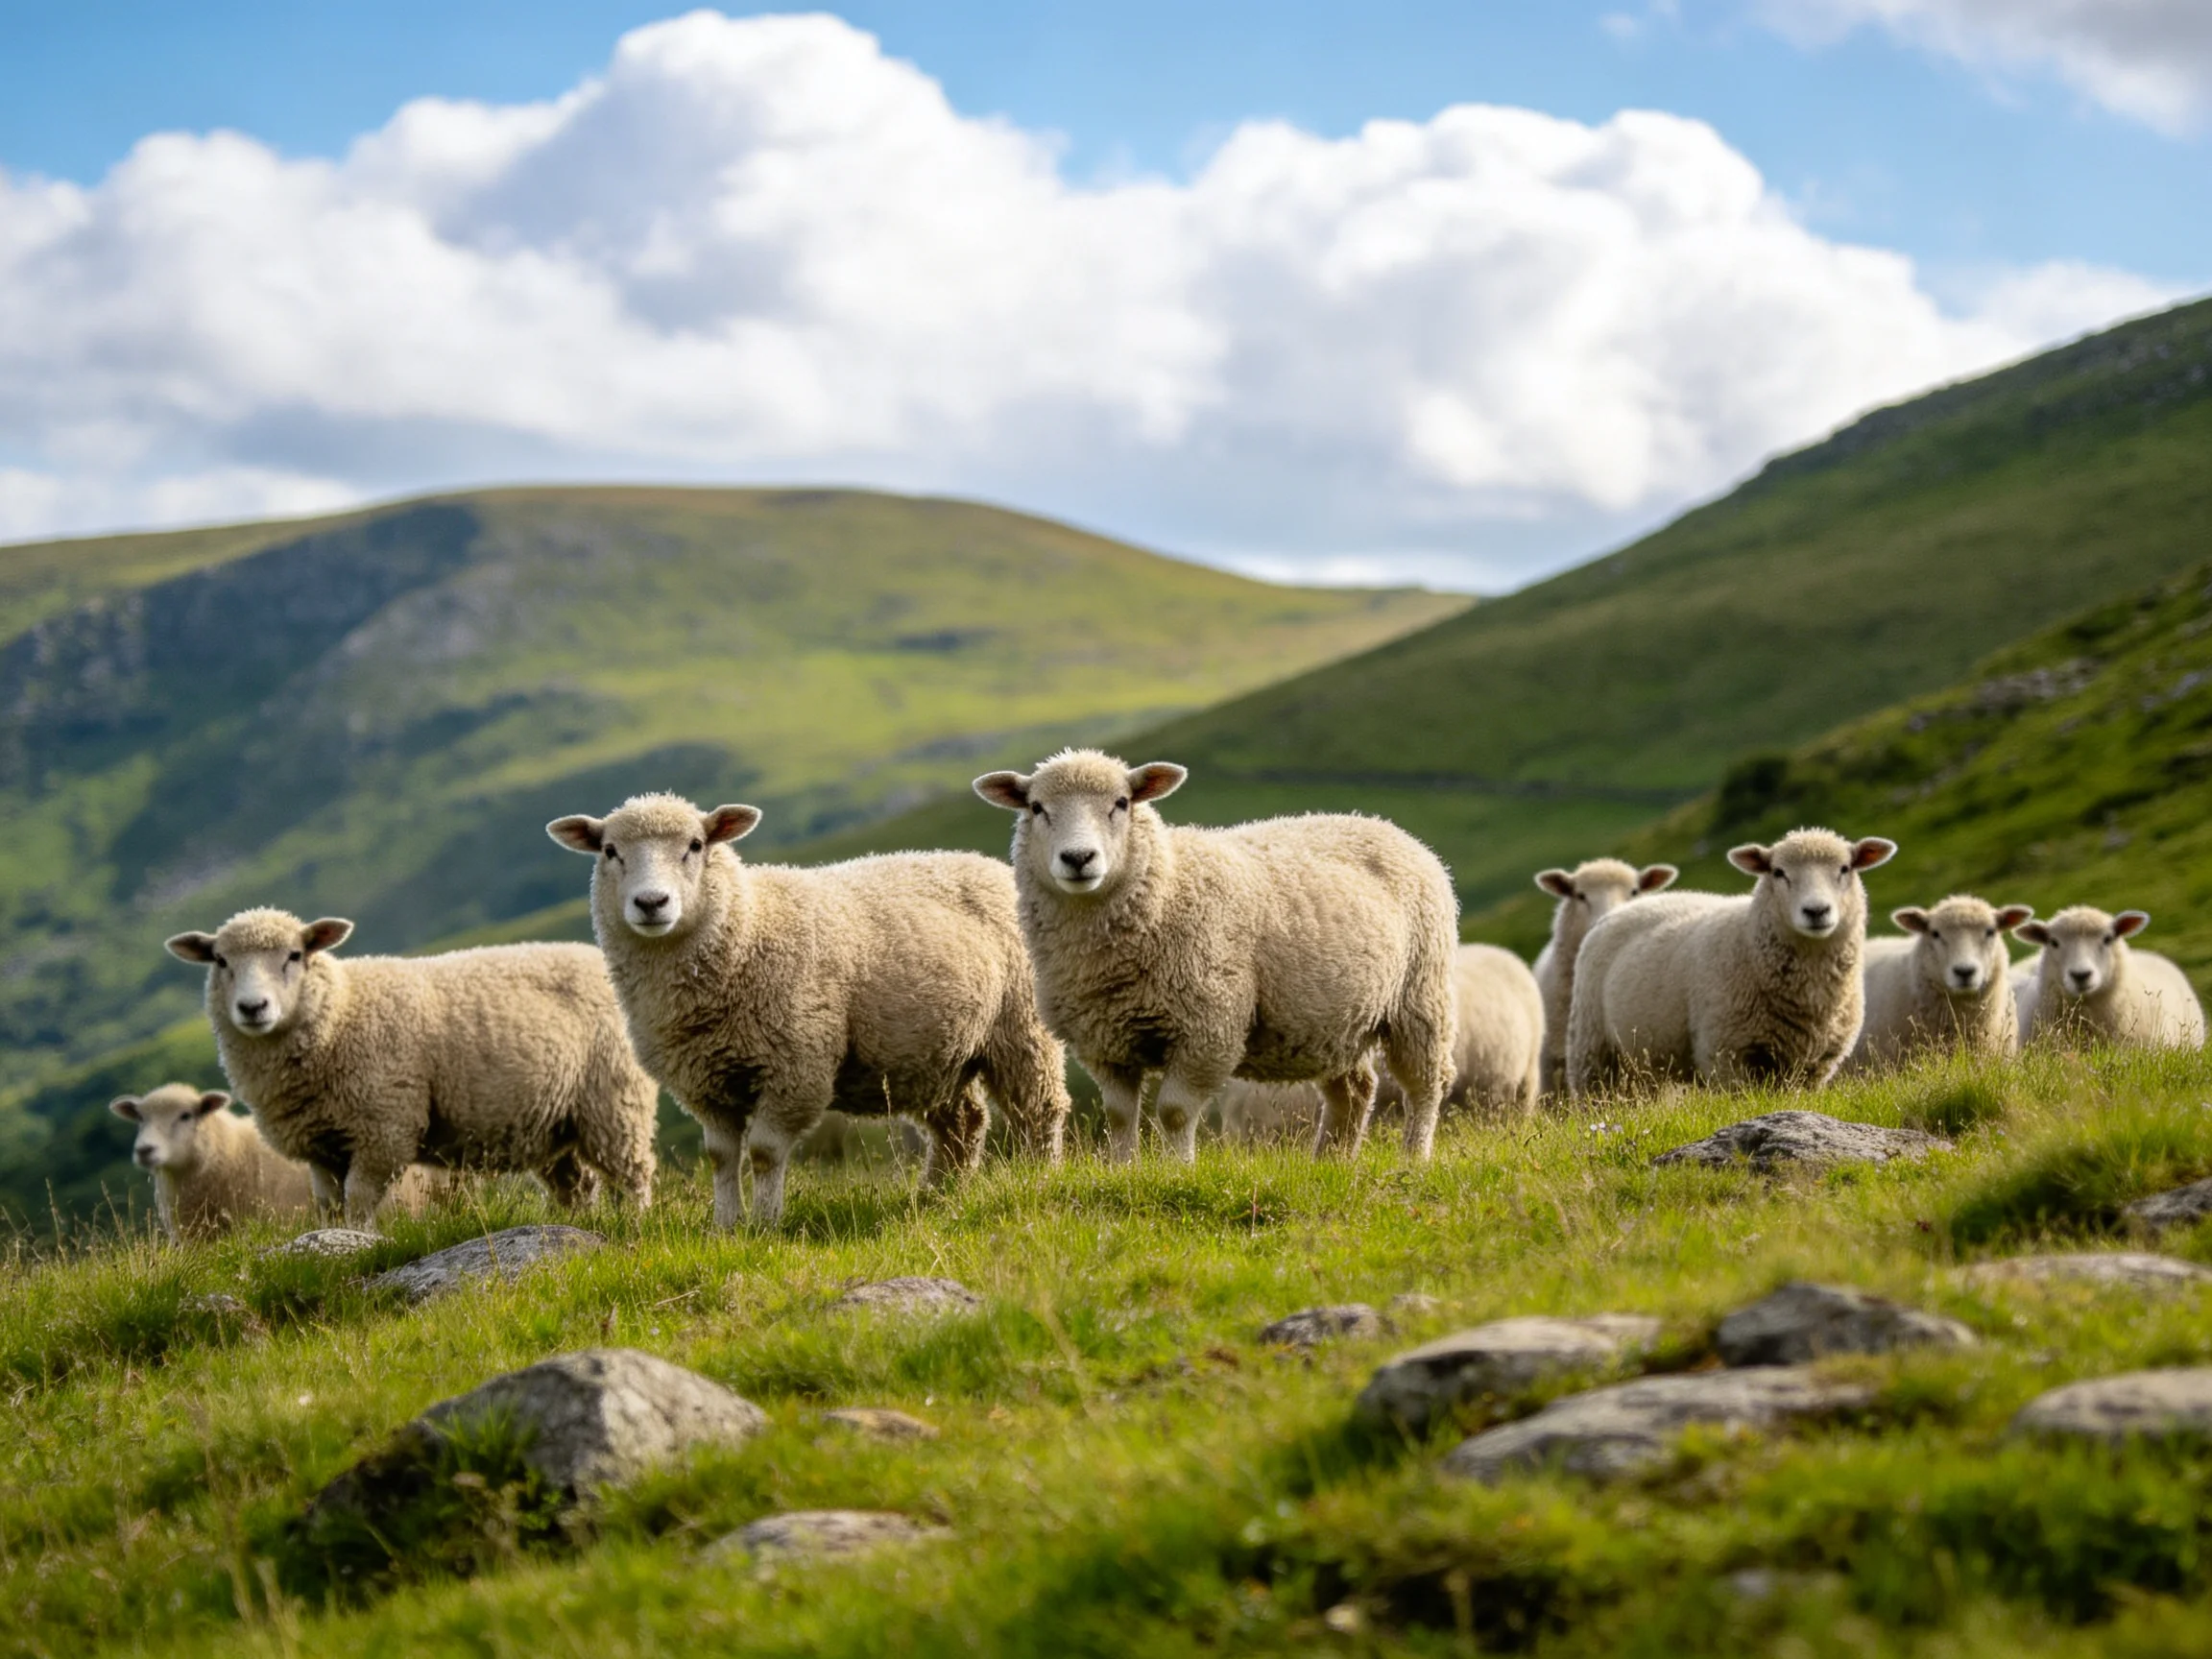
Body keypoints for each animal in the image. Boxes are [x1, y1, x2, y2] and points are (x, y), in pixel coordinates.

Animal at [165, 911, 657, 1226]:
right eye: (220, 961)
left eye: (294, 955)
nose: (253, 1008)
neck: (341, 1012)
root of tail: (595, 958)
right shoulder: (321, 1146)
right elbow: (328, 1205)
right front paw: (330, 1240)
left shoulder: (383, 1127)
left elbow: (359, 1201)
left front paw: (357, 1242)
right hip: (555, 1121)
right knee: (577, 1185)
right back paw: (582, 1224)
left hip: (614, 1101)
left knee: (632, 1175)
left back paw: (636, 1225)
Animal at [547, 795, 1071, 1229]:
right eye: (610, 851)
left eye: (695, 845)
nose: (652, 902)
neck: (747, 929)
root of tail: (985, 863)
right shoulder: (704, 1082)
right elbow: (720, 1156)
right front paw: (725, 1225)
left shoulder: (795, 1067)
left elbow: (762, 1153)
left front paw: (764, 1225)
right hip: (934, 1054)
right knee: (963, 1123)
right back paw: (938, 1194)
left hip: (1021, 1028)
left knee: (1040, 1110)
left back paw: (1041, 1178)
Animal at [973, 749, 1459, 1161]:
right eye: (1037, 807)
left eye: (1122, 803)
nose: (1078, 858)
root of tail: (1382, 824)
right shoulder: (1104, 1041)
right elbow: (1119, 1116)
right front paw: (1122, 1171)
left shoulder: (1207, 1028)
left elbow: (1174, 1113)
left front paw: (1177, 1172)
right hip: (1335, 1019)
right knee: (1355, 1089)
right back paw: (1331, 1162)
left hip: (1419, 998)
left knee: (1425, 1084)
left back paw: (1414, 1158)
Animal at [1566, 827, 1897, 1096]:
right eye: (1778, 872)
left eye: (1845, 868)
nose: (1816, 911)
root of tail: (1623, 909)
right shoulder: (1727, 1053)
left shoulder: (1817, 1064)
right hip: (1593, 1051)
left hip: (1643, 1063)